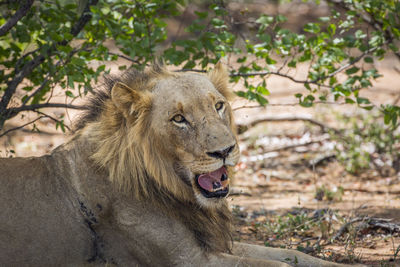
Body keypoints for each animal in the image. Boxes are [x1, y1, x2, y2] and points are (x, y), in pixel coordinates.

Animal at [0, 63, 360, 266]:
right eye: (178, 119)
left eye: (218, 106)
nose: (225, 150)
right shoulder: (186, 260)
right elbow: (282, 265)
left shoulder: (213, 245)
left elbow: (298, 256)